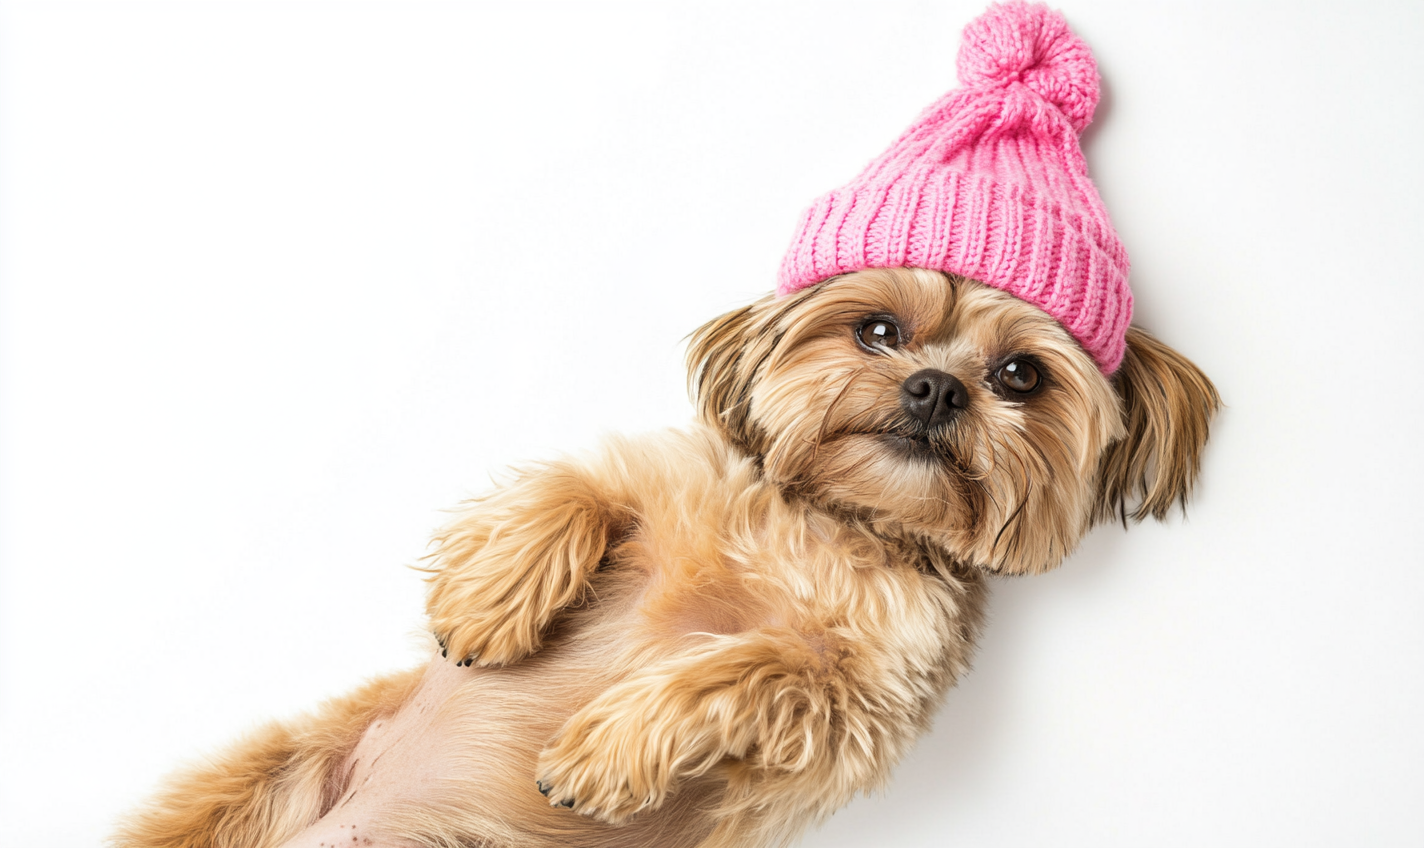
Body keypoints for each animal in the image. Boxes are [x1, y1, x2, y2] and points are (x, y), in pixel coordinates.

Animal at [116, 6, 1218, 848]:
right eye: (877, 329)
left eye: (1019, 375)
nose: (936, 389)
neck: (822, 525)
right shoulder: (659, 482)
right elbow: (574, 482)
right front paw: (487, 600)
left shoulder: (849, 701)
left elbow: (739, 664)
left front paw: (606, 746)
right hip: (250, 779)